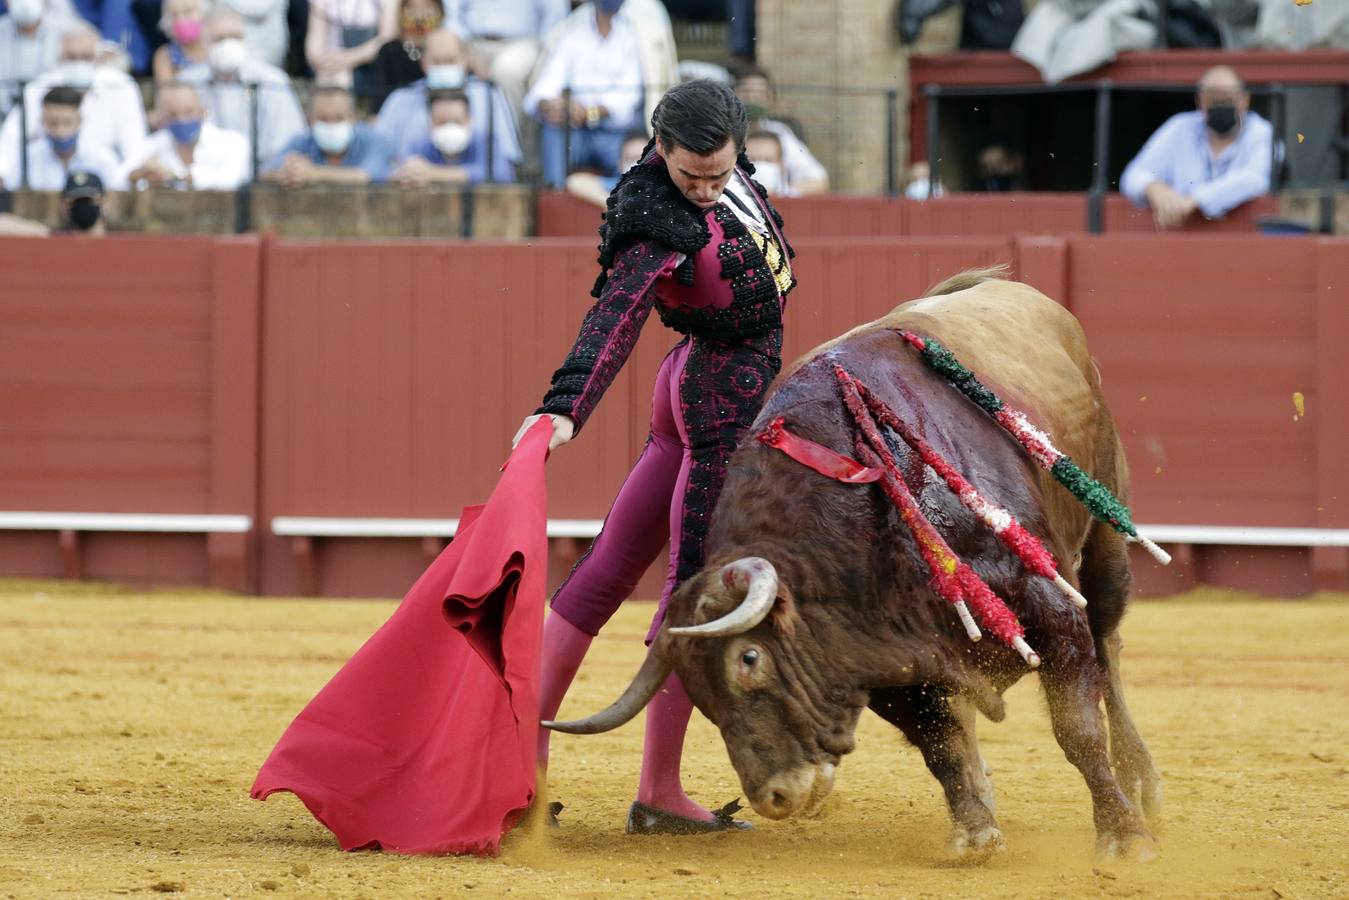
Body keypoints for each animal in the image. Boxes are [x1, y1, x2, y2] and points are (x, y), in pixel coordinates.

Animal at [544, 271, 1160, 863]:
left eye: (750, 659)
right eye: (698, 695)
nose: (774, 797)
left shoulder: (1049, 607)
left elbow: (1078, 729)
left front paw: (1123, 836)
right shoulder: (883, 664)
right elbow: (940, 745)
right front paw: (976, 832)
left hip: (1104, 537)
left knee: (1109, 648)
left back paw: (1142, 783)